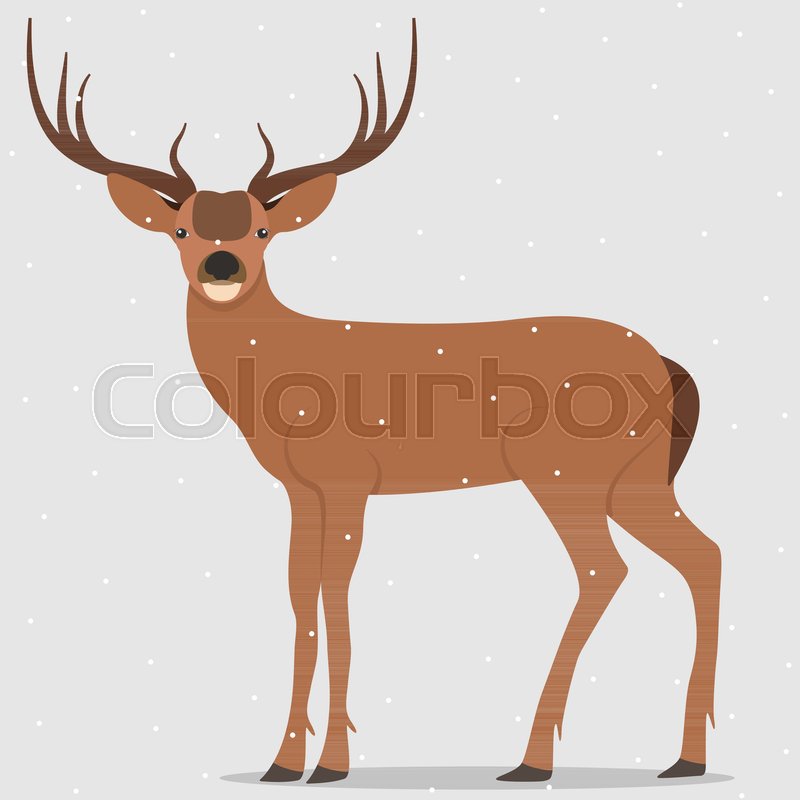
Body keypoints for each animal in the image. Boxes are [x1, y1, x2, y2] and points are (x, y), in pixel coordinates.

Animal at [27, 17, 720, 785]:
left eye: (261, 229)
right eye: (182, 229)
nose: (221, 264)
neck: (281, 375)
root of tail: (667, 365)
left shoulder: (348, 476)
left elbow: (337, 596)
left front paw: (331, 763)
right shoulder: (301, 490)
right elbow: (299, 595)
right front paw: (281, 762)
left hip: (566, 471)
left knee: (605, 569)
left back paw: (534, 759)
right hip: (635, 477)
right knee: (703, 555)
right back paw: (683, 757)